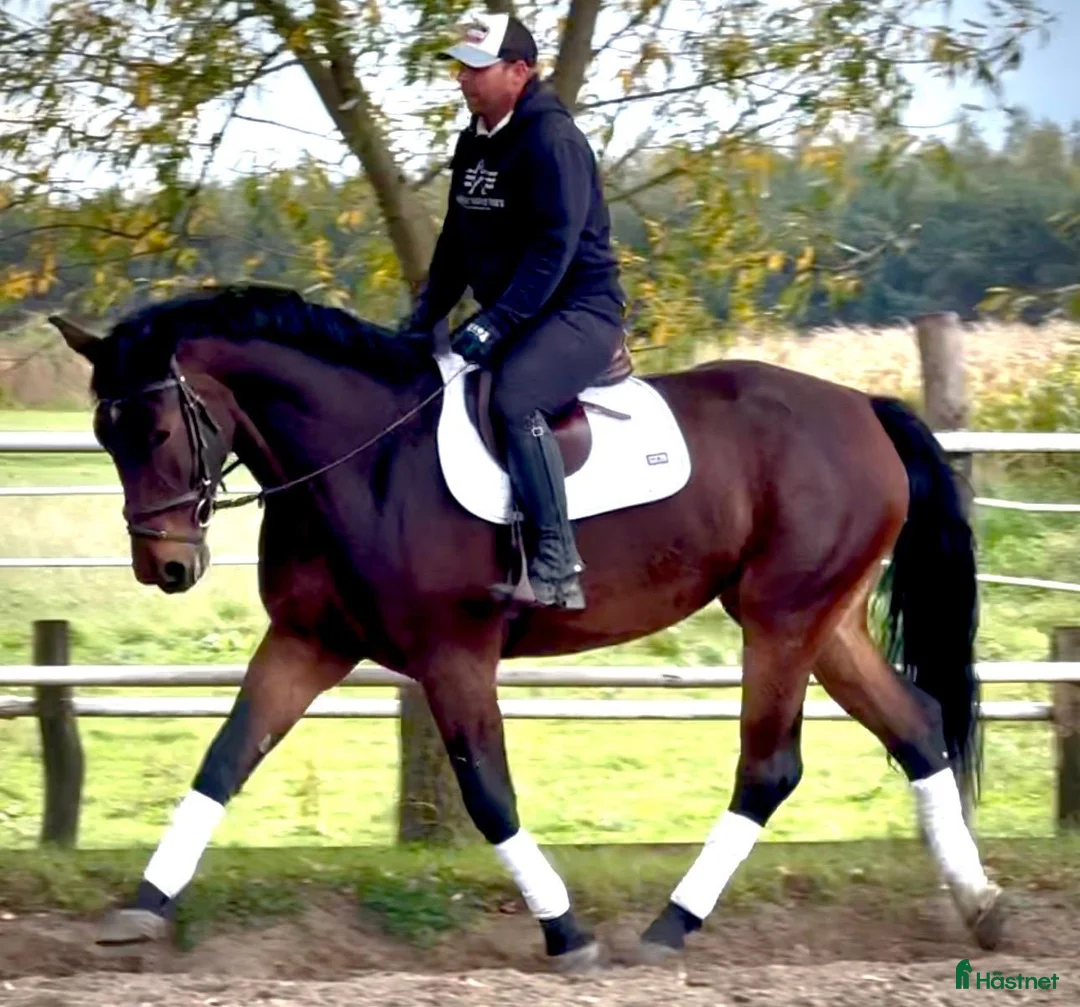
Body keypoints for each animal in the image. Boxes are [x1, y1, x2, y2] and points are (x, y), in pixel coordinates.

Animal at [50, 283, 1005, 971]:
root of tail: (864, 407)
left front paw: (567, 932)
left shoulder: (452, 653)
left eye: (157, 427)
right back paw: (982, 906)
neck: (366, 460)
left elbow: (488, 792)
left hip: (781, 618)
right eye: (104, 432)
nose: (166, 567)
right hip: (823, 619)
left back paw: (668, 927)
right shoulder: (309, 642)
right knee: (916, 725)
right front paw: (140, 908)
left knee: (770, 766)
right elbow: (223, 760)